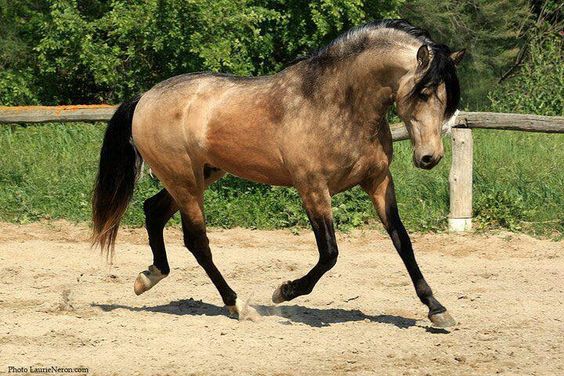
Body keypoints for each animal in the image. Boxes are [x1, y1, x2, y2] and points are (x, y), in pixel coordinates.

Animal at [91, 19, 462, 326]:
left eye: (446, 98)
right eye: (423, 92)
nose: (429, 157)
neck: (336, 104)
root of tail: (145, 98)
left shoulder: (379, 182)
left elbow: (403, 241)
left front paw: (437, 309)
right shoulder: (312, 187)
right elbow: (329, 253)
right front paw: (284, 292)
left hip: (198, 176)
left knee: (154, 211)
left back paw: (149, 277)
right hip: (184, 181)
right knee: (197, 241)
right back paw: (238, 305)